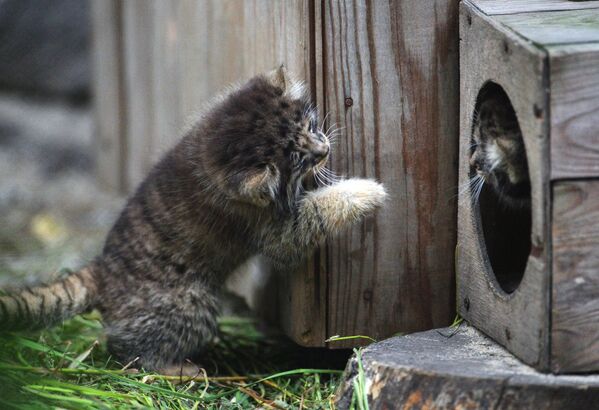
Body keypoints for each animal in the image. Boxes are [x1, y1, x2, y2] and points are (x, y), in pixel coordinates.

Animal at [0, 67, 386, 372]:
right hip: (188, 304)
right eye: (297, 158)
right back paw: (178, 370)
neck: (210, 154)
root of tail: (101, 271)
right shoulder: (274, 230)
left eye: (310, 125)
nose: (325, 150)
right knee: (129, 351)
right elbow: (315, 214)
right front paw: (368, 191)